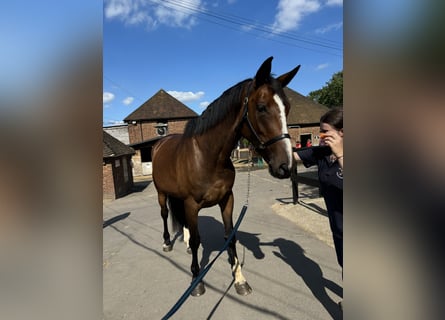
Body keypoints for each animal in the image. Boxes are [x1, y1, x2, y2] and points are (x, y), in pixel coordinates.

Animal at [151, 55, 300, 298]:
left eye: (286, 108)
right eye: (261, 107)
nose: (285, 166)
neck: (208, 157)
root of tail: (160, 143)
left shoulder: (227, 199)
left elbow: (230, 236)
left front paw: (239, 279)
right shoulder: (192, 204)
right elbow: (198, 241)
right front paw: (196, 280)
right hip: (161, 193)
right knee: (165, 214)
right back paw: (167, 243)